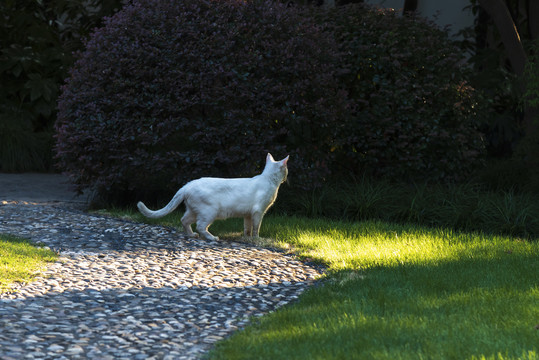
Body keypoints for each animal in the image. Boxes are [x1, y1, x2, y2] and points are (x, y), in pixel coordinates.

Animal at [137, 153, 288, 240]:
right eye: (286, 169)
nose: (287, 176)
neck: (268, 180)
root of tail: (187, 185)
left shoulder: (248, 214)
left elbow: (247, 228)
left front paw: (247, 238)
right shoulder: (258, 211)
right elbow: (256, 227)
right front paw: (257, 239)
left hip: (194, 211)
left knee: (184, 220)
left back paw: (191, 235)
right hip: (210, 212)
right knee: (200, 226)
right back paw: (212, 238)